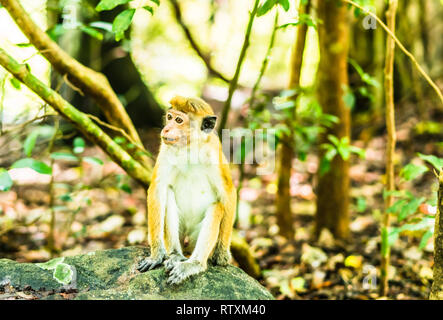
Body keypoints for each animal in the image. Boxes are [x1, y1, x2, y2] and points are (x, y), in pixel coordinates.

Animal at [138, 95, 236, 284]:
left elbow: (228, 193)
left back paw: (194, 264)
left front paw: (222, 253)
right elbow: (158, 190)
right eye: (169, 117)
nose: (166, 129)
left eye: (179, 120)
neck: (190, 147)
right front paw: (156, 254)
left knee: (217, 207)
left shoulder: (215, 151)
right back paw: (175, 255)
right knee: (168, 195)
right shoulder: (166, 148)